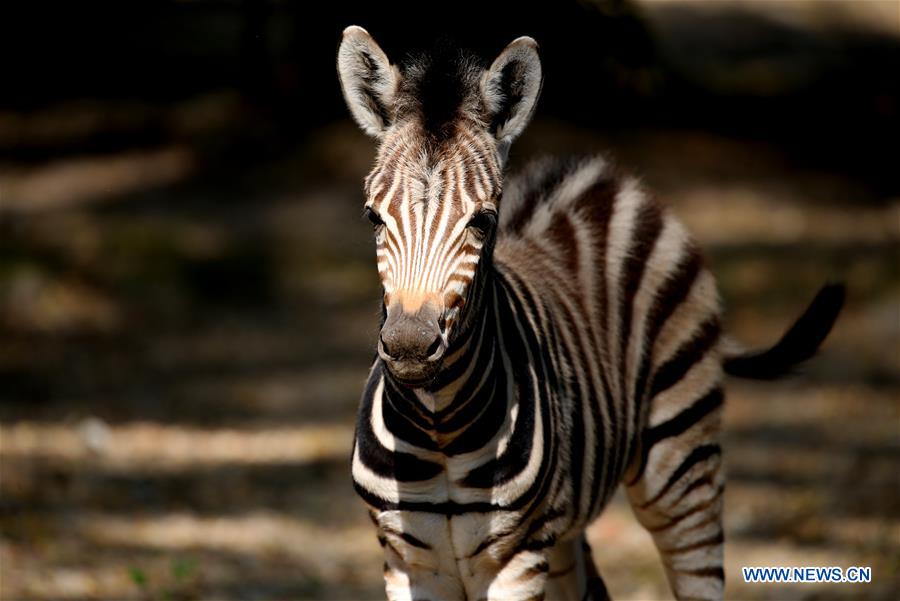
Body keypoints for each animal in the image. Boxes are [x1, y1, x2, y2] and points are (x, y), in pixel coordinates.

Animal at [336, 24, 844, 600]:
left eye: (483, 221)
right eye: (373, 217)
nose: (408, 346)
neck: (438, 425)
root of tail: (609, 180)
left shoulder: (516, 559)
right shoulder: (409, 562)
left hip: (681, 473)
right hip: (564, 525)